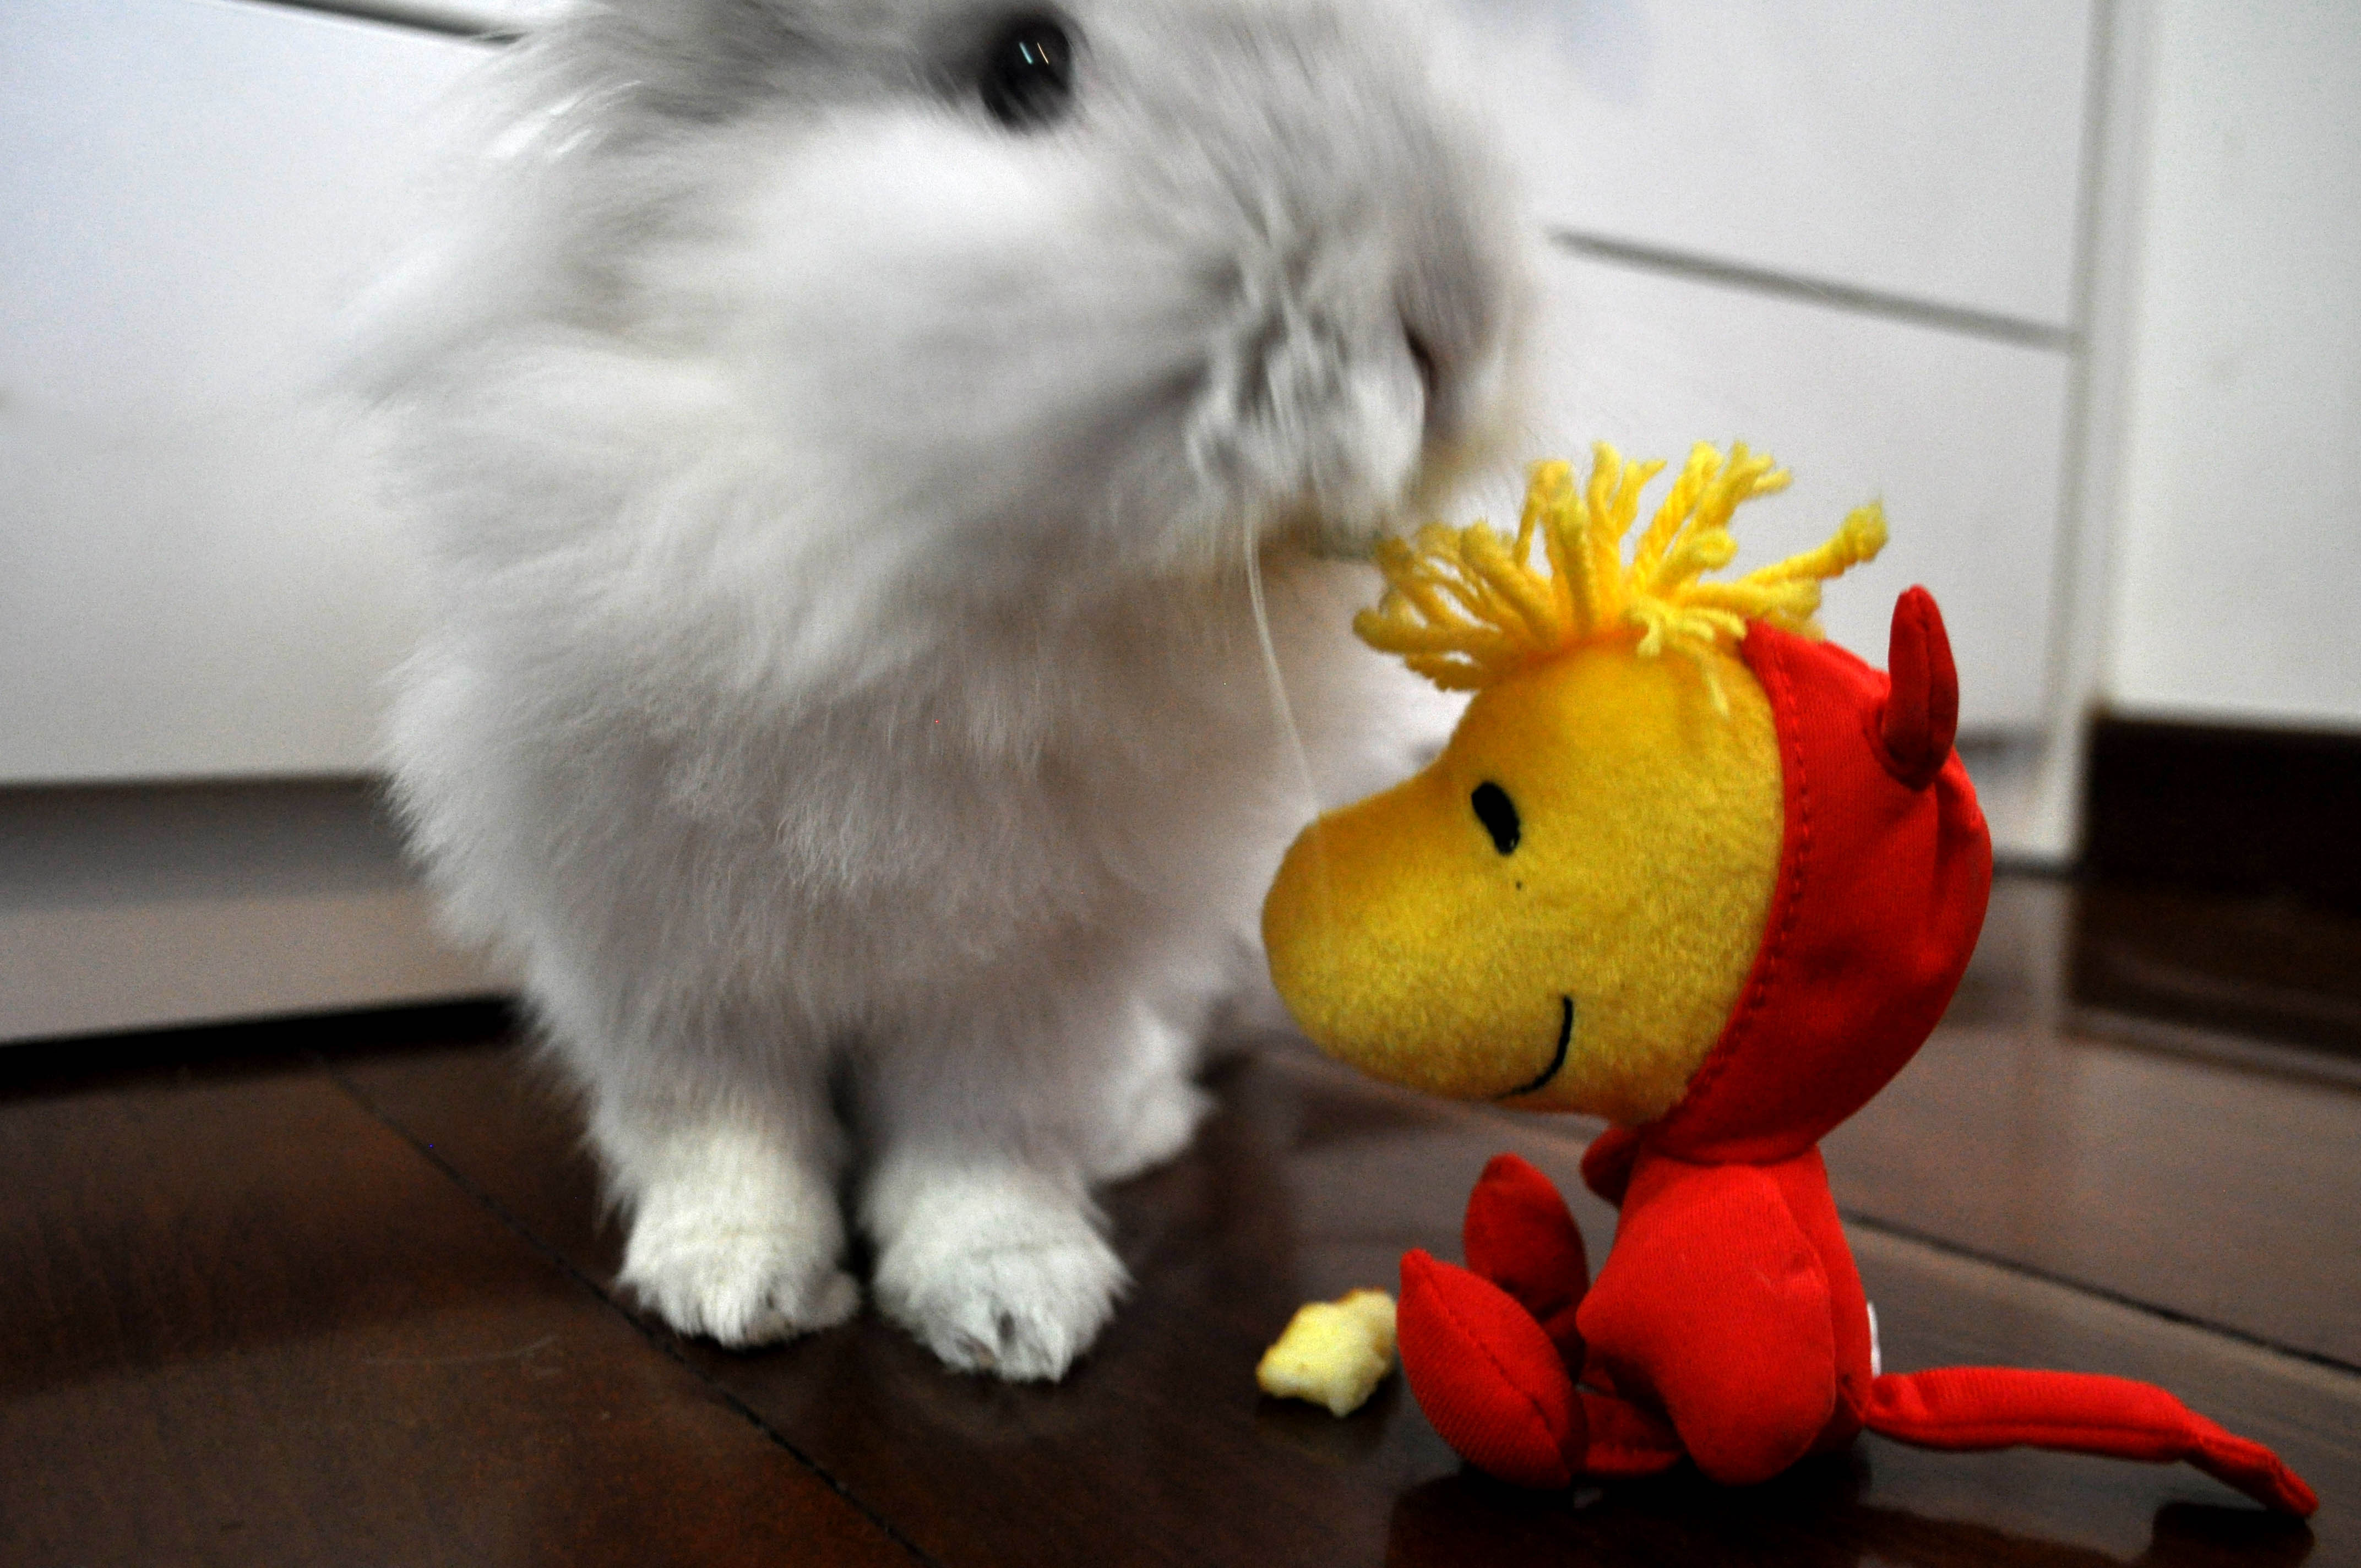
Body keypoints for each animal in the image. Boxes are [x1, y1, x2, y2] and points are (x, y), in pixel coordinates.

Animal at [361, 0, 1520, 1379]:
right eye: (1026, 68)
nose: (1453, 316)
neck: (896, 565)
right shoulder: (666, 942)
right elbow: (723, 1123)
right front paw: (735, 1287)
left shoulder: (1026, 971)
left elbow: (981, 1143)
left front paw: (1017, 1311)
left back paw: (1130, 1129)